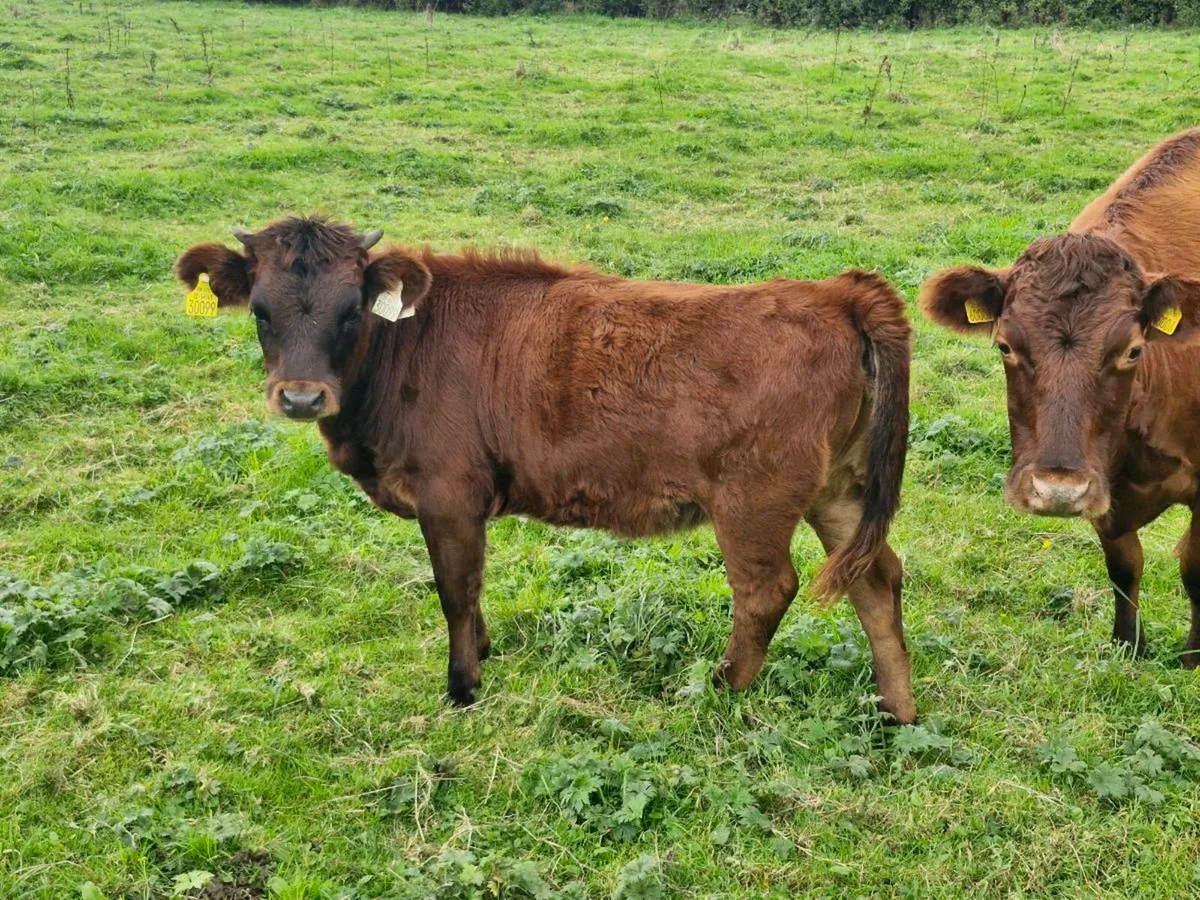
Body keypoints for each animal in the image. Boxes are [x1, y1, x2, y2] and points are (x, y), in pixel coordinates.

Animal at [176, 217, 916, 723]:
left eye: (351, 309)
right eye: (261, 311)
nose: (301, 397)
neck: (412, 341)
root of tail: (836, 292)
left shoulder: (447, 493)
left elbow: (454, 589)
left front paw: (462, 688)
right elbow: (472, 588)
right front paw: (483, 655)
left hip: (754, 499)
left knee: (767, 589)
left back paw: (720, 689)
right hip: (840, 489)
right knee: (876, 577)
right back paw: (898, 711)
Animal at [921, 127, 1200, 665]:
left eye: (1133, 350)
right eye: (1005, 346)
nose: (1056, 490)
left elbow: (1195, 569)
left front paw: (1193, 658)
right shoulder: (1106, 486)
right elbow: (1124, 566)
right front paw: (1127, 645)